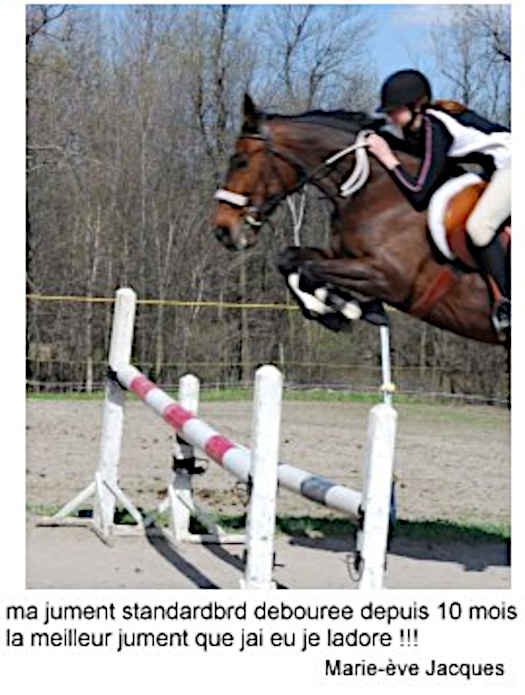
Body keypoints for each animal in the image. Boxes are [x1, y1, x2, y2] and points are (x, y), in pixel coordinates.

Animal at [211, 95, 510, 346]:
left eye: (241, 161)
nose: (222, 229)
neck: (375, 189)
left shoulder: (390, 278)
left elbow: (309, 270)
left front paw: (346, 309)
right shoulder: (341, 254)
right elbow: (289, 259)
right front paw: (337, 310)